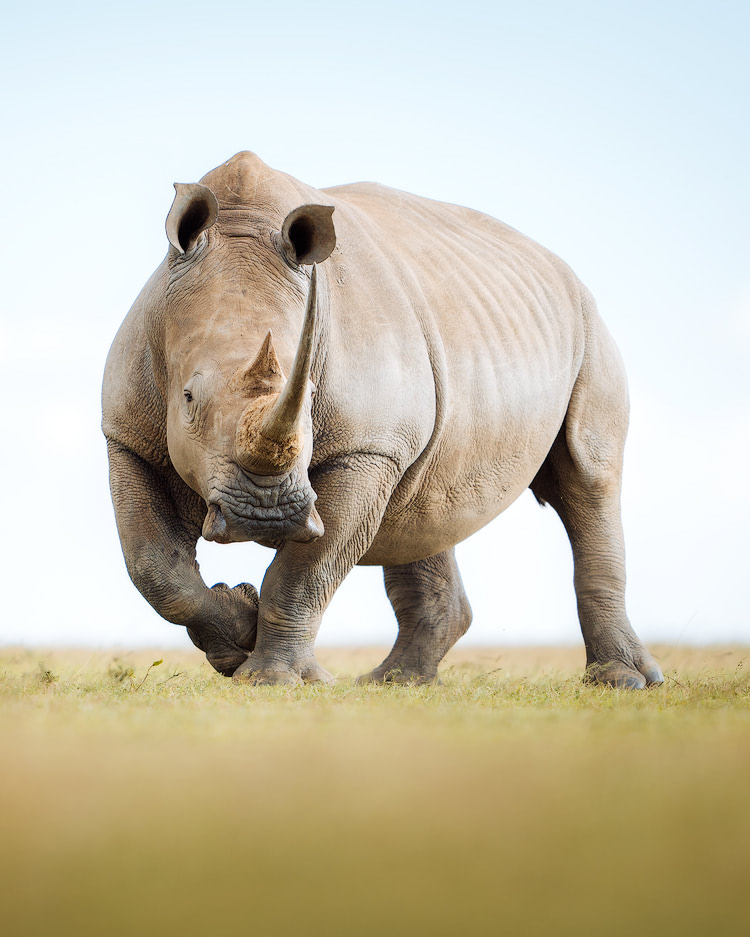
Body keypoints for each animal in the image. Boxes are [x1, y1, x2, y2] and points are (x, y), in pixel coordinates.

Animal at [103, 148, 668, 688]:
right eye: (188, 398)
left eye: (310, 397)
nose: (267, 514)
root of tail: (562, 268)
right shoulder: (127, 435)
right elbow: (153, 567)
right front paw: (237, 630)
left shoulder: (367, 446)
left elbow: (304, 570)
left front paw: (270, 678)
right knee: (424, 509)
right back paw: (396, 681)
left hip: (591, 332)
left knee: (588, 478)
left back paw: (623, 682)